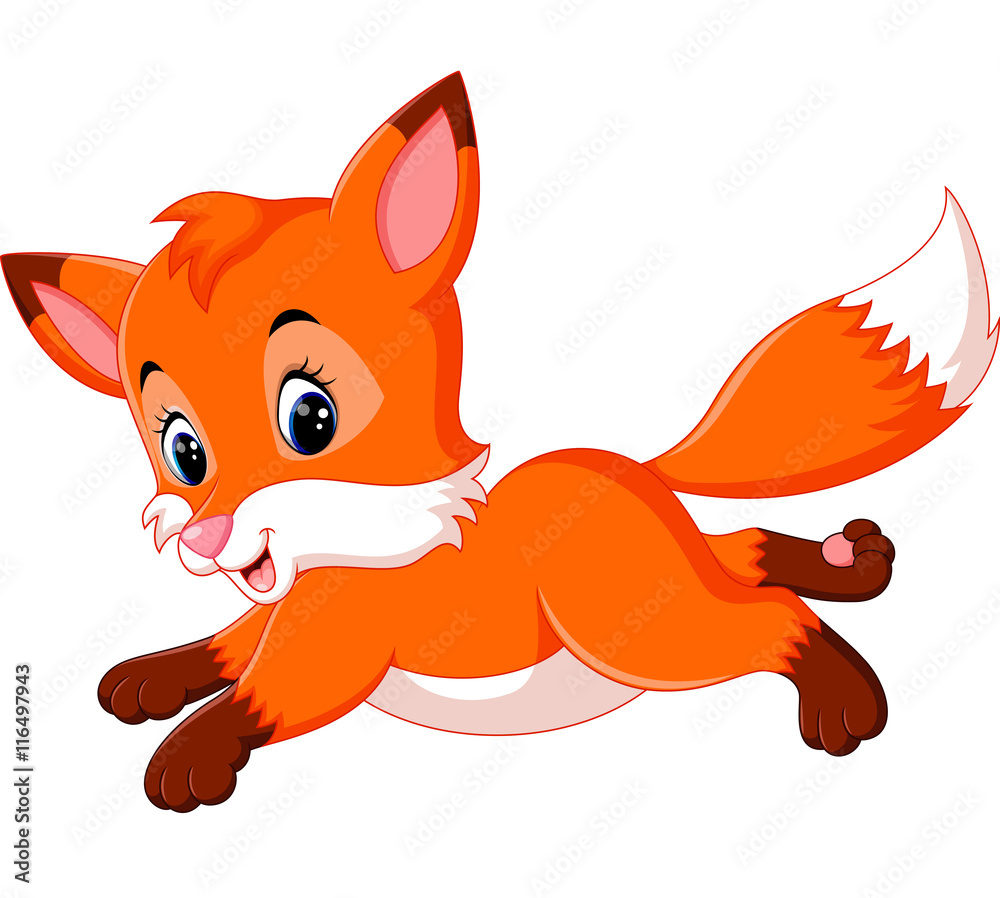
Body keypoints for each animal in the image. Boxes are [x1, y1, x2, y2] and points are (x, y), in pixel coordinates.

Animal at [4, 72, 997, 813]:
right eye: (184, 450)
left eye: (310, 418)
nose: (207, 537)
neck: (363, 546)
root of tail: (624, 470)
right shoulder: (275, 615)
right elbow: (218, 645)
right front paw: (147, 680)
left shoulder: (331, 649)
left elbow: (255, 696)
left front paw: (187, 758)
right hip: (674, 578)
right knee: (747, 549)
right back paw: (852, 561)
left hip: (638, 629)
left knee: (768, 618)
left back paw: (842, 695)